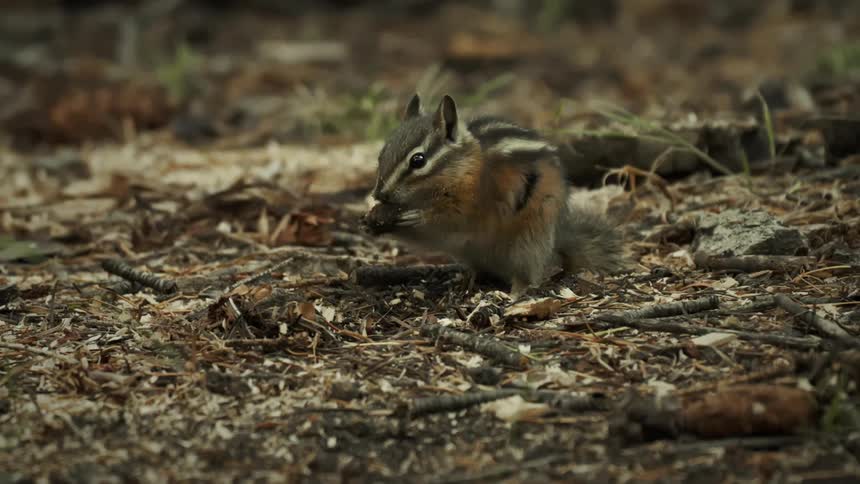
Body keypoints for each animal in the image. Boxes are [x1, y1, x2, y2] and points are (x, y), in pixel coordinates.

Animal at [362, 94, 627, 297]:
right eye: (381, 154)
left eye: (418, 160)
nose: (379, 193)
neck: (463, 169)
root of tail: (558, 239)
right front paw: (371, 221)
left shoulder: (471, 206)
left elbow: (446, 222)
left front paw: (415, 217)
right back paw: (466, 281)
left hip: (528, 245)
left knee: (529, 276)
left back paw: (515, 293)